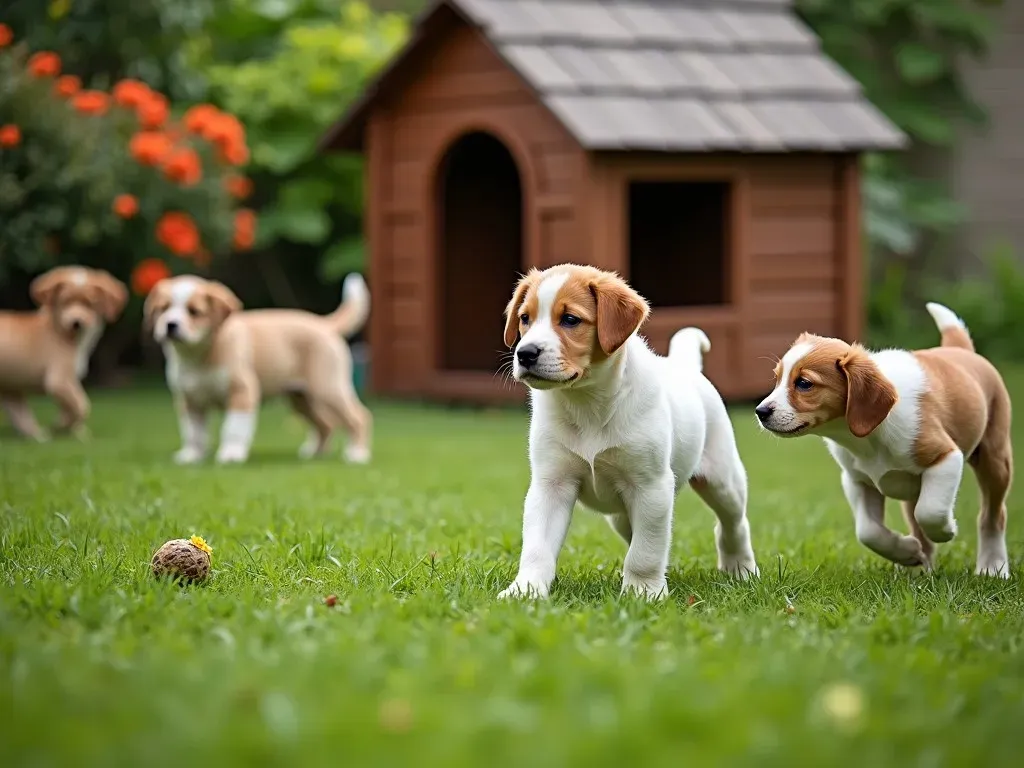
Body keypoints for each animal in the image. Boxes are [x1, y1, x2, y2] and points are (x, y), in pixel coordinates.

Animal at [0, 268, 129, 442]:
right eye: (65, 302)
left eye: (90, 304)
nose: (76, 323)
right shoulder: (58, 380)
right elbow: (82, 405)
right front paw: (63, 425)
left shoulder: (14, 389)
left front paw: (73, 430)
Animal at [142, 276, 370, 468]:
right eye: (163, 309)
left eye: (194, 312)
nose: (170, 325)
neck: (198, 354)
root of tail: (324, 324)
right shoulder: (189, 400)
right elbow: (193, 432)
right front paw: (191, 456)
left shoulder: (242, 393)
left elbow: (233, 428)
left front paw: (231, 455)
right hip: (301, 399)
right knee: (326, 425)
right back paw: (315, 452)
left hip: (328, 389)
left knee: (359, 417)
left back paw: (357, 454)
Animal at [495, 264, 761, 602]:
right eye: (525, 318)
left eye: (570, 319)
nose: (525, 354)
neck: (587, 401)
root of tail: (684, 366)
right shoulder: (551, 485)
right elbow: (537, 548)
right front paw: (525, 591)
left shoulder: (651, 487)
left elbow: (644, 552)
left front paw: (643, 593)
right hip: (622, 514)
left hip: (722, 481)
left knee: (732, 524)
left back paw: (741, 569)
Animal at [757, 303, 1011, 581]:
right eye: (777, 379)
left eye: (804, 383)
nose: (760, 411)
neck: (865, 439)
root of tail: (960, 350)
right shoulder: (857, 479)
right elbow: (869, 531)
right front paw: (908, 551)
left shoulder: (946, 457)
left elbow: (930, 511)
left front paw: (947, 530)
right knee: (916, 523)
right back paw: (919, 569)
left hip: (995, 460)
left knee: (992, 516)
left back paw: (993, 567)